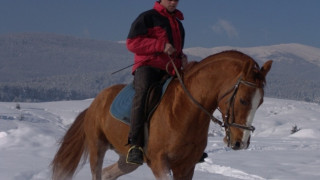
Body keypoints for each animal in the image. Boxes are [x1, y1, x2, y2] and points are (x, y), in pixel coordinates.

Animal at [51, 50, 272, 180]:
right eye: (243, 100)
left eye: (260, 102)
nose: (241, 143)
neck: (183, 111)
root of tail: (95, 103)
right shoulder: (159, 162)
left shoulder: (186, 166)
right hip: (97, 147)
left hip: (127, 159)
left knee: (107, 174)